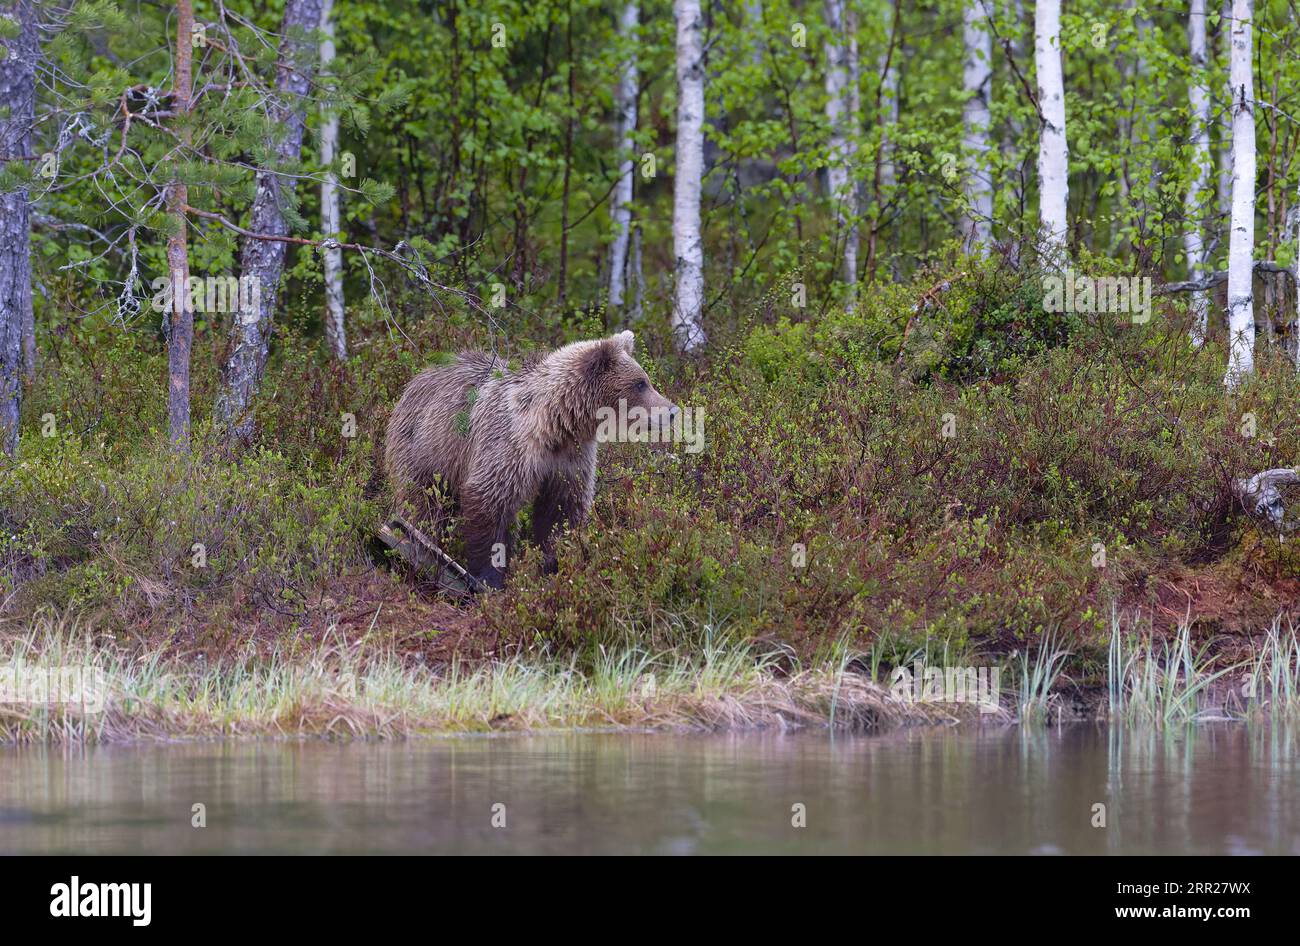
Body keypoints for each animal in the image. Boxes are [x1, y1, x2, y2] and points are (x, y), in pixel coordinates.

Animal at [379, 328, 676, 587]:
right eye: (640, 383)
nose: (672, 410)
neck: (557, 424)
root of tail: (419, 376)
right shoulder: (509, 445)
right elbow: (491, 500)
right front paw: (490, 576)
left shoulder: (570, 458)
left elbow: (561, 509)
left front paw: (553, 564)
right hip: (425, 446)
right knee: (422, 500)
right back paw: (413, 541)